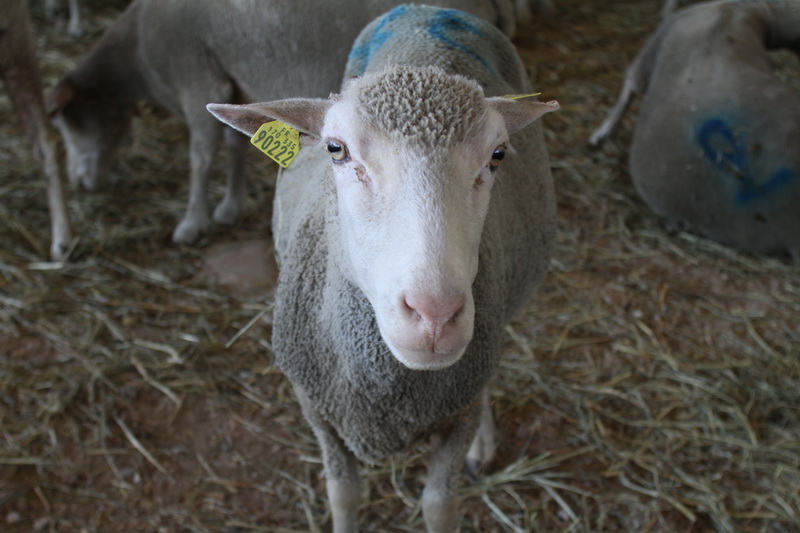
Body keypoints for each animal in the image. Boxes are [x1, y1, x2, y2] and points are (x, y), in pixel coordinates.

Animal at [47, 0, 520, 245]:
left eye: (67, 123)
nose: (81, 183)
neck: (140, 61)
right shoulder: (230, 82)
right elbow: (236, 145)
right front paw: (229, 206)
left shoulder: (196, 76)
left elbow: (200, 157)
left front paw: (191, 222)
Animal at [206, 5, 556, 532]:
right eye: (336, 149)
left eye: (497, 156)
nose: (435, 315)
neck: (385, 385)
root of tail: (427, 10)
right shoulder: (317, 409)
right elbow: (344, 495)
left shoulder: (459, 408)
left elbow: (439, 505)